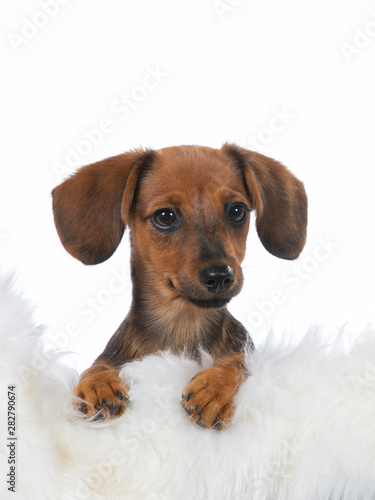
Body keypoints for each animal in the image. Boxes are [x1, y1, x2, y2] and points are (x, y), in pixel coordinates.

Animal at [52, 144, 308, 430]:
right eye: (165, 216)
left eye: (236, 211)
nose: (220, 275)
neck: (183, 324)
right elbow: (97, 364)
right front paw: (97, 383)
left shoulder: (247, 351)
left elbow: (240, 360)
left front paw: (216, 387)